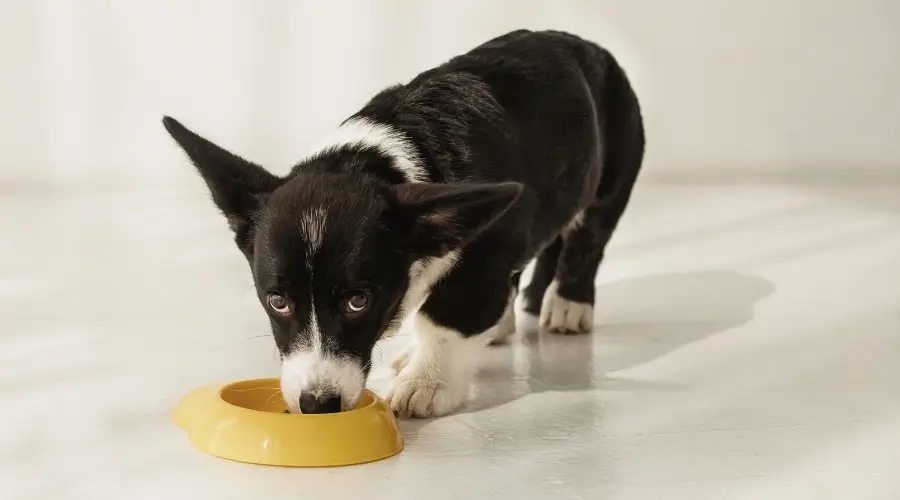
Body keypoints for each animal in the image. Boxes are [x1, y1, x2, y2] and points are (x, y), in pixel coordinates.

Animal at [162, 30, 640, 418]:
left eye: (358, 301)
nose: (317, 405)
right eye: (276, 301)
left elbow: (442, 320)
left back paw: (569, 306)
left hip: (611, 177)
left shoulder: (484, 256)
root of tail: (584, 44)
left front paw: (427, 384)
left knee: (588, 238)